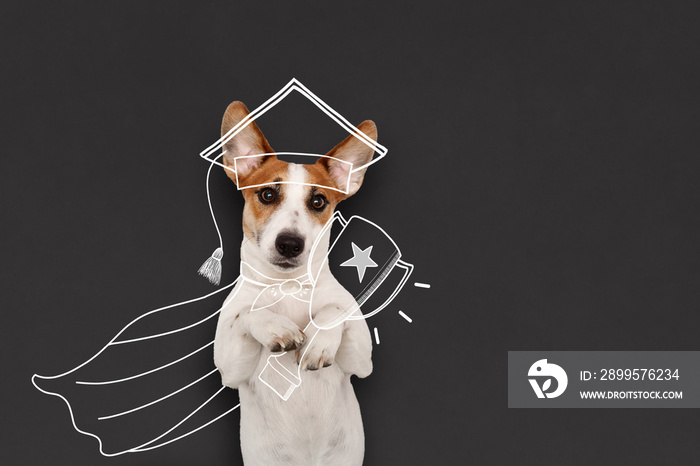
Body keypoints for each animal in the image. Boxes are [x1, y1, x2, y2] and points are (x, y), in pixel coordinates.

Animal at [213, 100, 378, 464]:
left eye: (318, 202)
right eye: (267, 194)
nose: (290, 244)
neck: (287, 287)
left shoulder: (361, 362)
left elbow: (336, 310)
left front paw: (318, 340)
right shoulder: (230, 368)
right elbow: (247, 313)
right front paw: (277, 328)